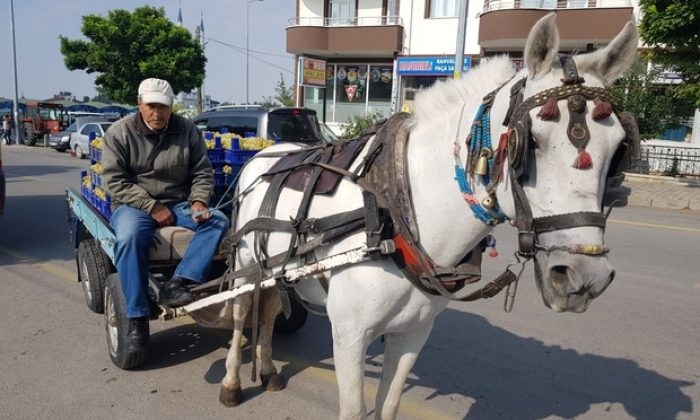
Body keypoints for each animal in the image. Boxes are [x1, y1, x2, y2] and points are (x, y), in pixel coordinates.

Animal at [216, 13, 636, 420]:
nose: (584, 276)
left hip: (275, 270)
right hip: (246, 263)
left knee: (270, 307)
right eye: (529, 142)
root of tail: (263, 152)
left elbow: (388, 405)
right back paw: (232, 382)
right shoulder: (350, 334)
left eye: (619, 149)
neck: (394, 214)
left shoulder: (413, 332)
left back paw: (267, 368)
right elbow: (354, 410)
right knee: (240, 312)